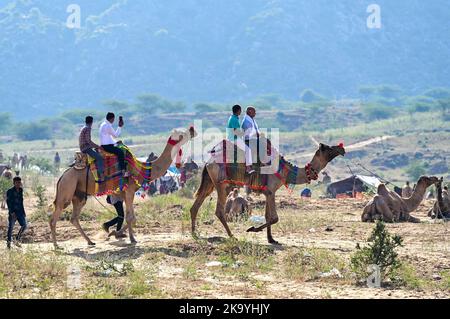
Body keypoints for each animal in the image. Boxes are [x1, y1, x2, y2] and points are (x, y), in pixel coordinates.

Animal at [50, 126, 196, 249]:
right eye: (183, 133)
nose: (192, 130)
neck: (141, 169)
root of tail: (62, 176)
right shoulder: (130, 190)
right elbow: (131, 217)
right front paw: (131, 238)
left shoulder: (124, 193)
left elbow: (130, 216)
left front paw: (115, 233)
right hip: (67, 189)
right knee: (55, 215)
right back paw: (57, 246)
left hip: (79, 195)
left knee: (74, 218)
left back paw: (90, 241)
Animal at [190, 142, 344, 245]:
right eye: (329, 148)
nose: (342, 148)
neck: (286, 171)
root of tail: (208, 162)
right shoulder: (271, 191)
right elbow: (274, 217)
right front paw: (252, 229)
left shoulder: (268, 192)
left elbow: (268, 216)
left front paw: (271, 239)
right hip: (221, 185)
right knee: (219, 211)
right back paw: (232, 235)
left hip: (210, 182)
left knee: (195, 206)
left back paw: (194, 233)